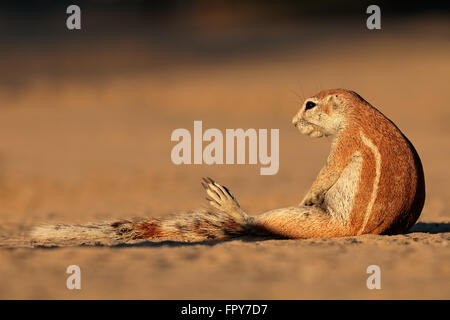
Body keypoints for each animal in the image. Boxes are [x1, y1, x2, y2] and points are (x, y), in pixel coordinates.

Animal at [30, 87, 426, 242]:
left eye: (310, 106)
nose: (292, 122)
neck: (357, 112)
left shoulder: (345, 142)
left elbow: (325, 173)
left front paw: (309, 193)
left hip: (305, 221)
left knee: (258, 221)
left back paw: (229, 205)